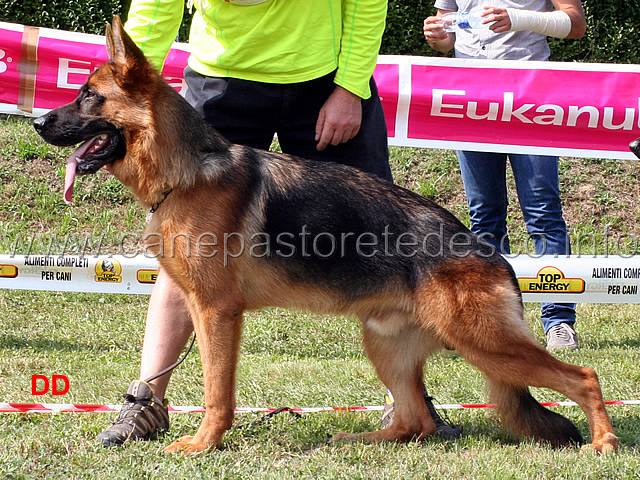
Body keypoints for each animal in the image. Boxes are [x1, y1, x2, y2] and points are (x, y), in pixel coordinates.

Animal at [32, 17, 616, 454]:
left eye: (89, 97)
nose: (37, 122)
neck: (187, 172)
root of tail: (489, 253)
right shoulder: (195, 302)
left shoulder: (218, 312)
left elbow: (217, 391)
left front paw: (202, 444)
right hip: (387, 345)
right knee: (416, 421)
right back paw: (359, 437)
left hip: (483, 343)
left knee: (583, 376)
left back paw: (603, 442)